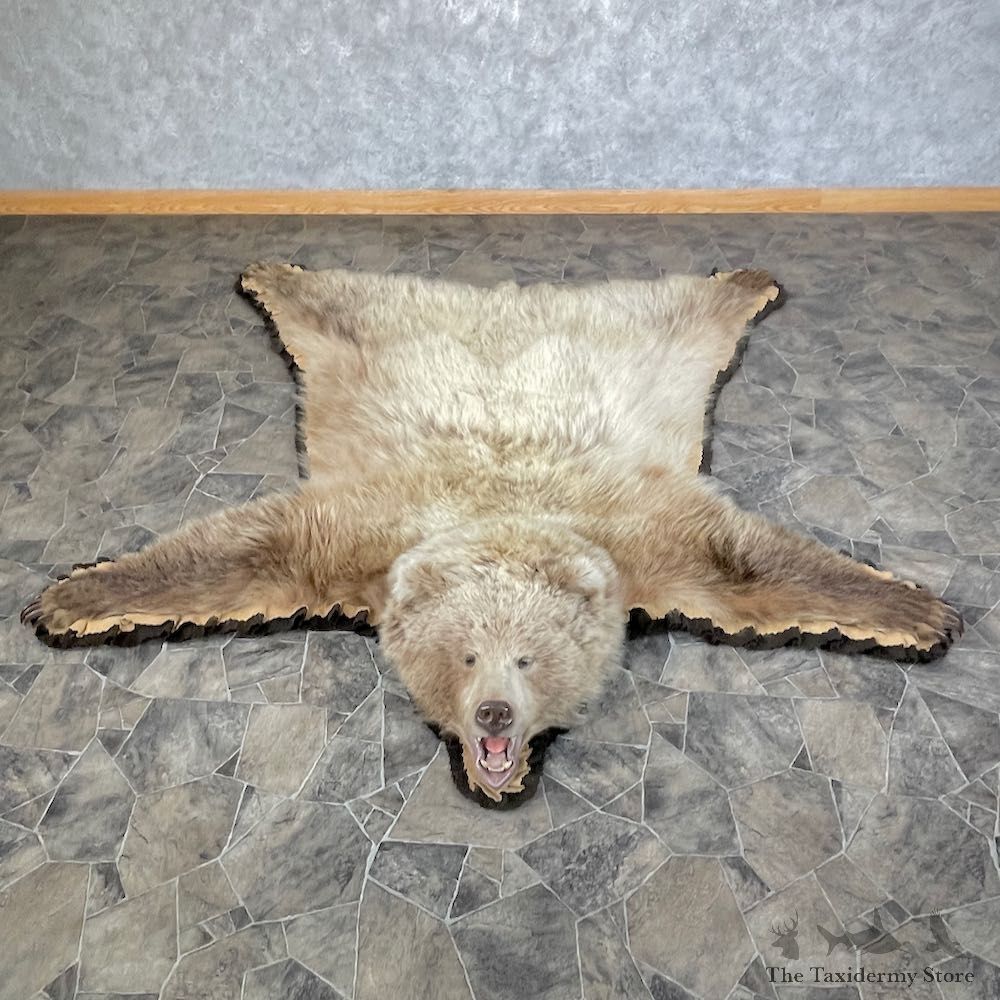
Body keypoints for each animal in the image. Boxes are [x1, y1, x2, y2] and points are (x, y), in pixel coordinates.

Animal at [22, 263, 962, 804]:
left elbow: (744, 562)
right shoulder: (358, 530)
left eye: (530, 658)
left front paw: (915, 614)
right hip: (370, 326)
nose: (494, 718)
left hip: (652, 333)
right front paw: (76, 596)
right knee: (331, 296)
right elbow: (246, 549)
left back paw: (749, 278)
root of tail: (506, 300)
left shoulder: (643, 533)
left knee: (688, 300)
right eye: (466, 655)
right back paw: (268, 269)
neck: (501, 515)